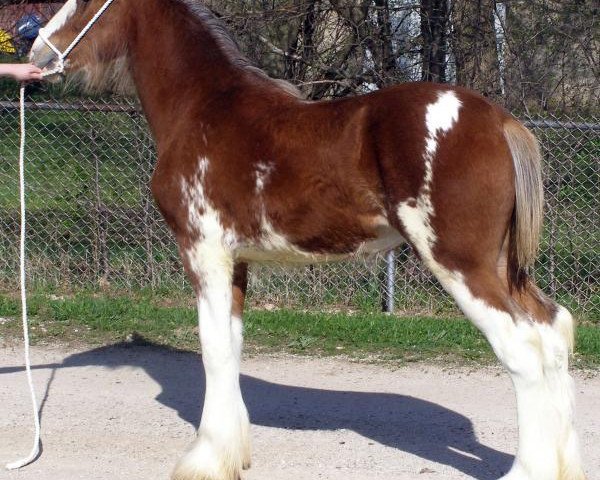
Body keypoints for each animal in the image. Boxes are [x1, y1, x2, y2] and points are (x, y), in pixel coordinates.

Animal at [29, 0, 584, 480]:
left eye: (82, 1)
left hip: (462, 262)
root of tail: (501, 121)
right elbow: (231, 346)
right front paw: (233, 454)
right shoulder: (236, 261)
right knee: (554, 330)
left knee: (523, 349)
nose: (36, 51)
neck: (204, 108)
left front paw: (204, 460)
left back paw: (525, 470)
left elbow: (212, 348)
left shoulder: (203, 251)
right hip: (502, 266)